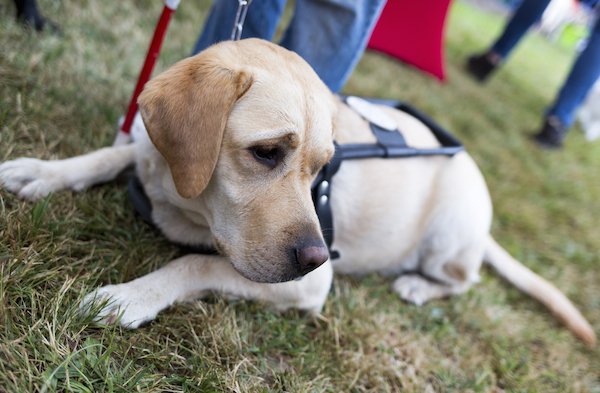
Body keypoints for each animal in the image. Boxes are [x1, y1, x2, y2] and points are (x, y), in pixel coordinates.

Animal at [0, 38, 592, 344]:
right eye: (266, 152)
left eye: (323, 167)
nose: (314, 256)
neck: (181, 197)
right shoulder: (149, 151)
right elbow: (112, 153)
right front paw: (44, 171)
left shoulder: (306, 286)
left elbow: (192, 263)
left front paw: (128, 296)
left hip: (449, 237)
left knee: (464, 280)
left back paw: (418, 286)